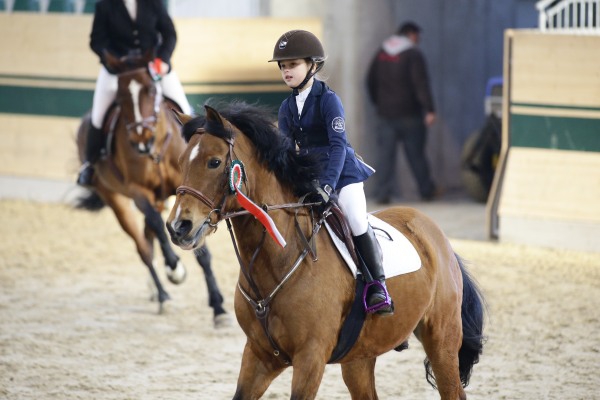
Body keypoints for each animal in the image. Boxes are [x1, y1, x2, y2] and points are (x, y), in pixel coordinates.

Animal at [75, 50, 230, 324]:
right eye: (120, 95)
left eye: (150, 89)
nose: (141, 140)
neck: (156, 150)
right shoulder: (140, 193)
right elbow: (160, 227)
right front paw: (175, 269)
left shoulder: (189, 194)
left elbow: (199, 249)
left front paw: (218, 306)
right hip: (116, 200)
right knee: (144, 247)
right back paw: (162, 294)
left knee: (149, 235)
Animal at [166, 102, 486, 396]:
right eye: (181, 160)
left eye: (214, 162)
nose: (178, 226)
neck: (280, 259)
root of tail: (437, 236)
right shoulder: (259, 355)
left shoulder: (310, 358)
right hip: (359, 357)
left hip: (442, 340)